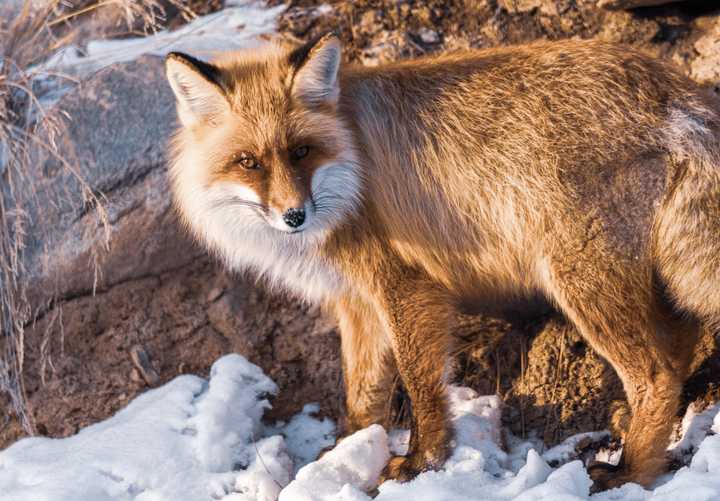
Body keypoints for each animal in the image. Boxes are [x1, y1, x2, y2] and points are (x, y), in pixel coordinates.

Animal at [165, 34, 720, 488]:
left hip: (578, 281)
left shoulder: (407, 286)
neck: (353, 165)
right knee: (680, 342)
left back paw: (632, 473)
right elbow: (362, 397)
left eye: (301, 151)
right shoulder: (357, 303)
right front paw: (346, 454)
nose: (294, 216)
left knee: (657, 372)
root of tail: (674, 88)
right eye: (249, 162)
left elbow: (420, 386)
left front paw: (421, 463)